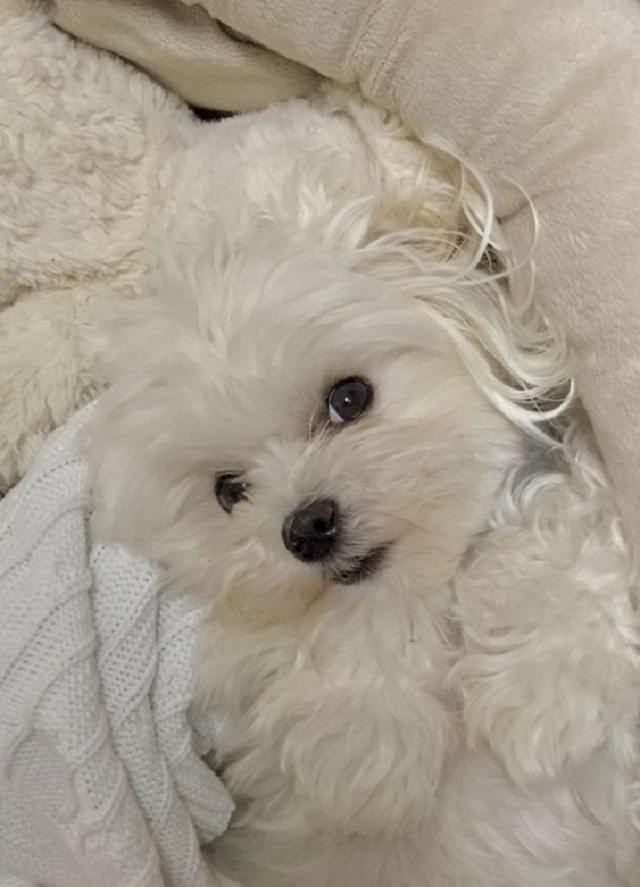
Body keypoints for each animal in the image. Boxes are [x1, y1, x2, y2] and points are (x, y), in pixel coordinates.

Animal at [86, 92, 640, 887]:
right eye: (229, 490)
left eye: (349, 397)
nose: (306, 527)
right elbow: (327, 639)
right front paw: (373, 761)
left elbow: (565, 536)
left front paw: (542, 703)